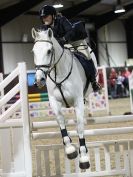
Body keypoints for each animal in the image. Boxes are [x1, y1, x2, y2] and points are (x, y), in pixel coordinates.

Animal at [31, 27, 95, 169]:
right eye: (33, 51)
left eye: (49, 51)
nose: (39, 80)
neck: (59, 73)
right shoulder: (54, 102)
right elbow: (61, 121)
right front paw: (70, 149)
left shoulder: (78, 101)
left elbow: (80, 127)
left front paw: (83, 158)